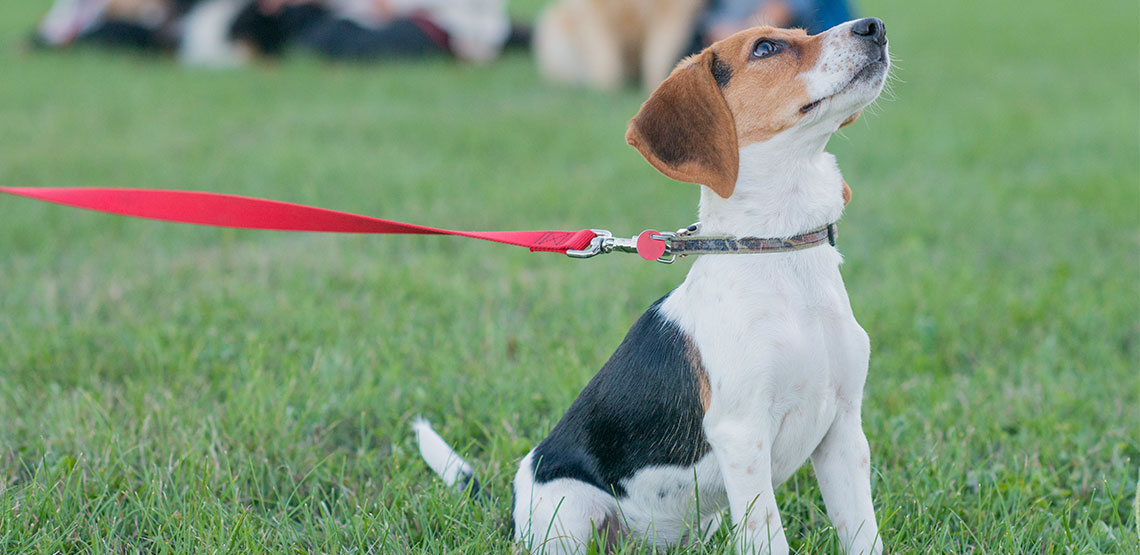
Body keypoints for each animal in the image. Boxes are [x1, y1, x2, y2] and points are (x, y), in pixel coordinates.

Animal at [419, 17, 889, 555]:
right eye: (766, 48)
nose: (873, 26)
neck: (778, 250)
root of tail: (512, 513)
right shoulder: (742, 436)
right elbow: (769, 536)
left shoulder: (844, 432)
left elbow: (864, 534)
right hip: (570, 509)